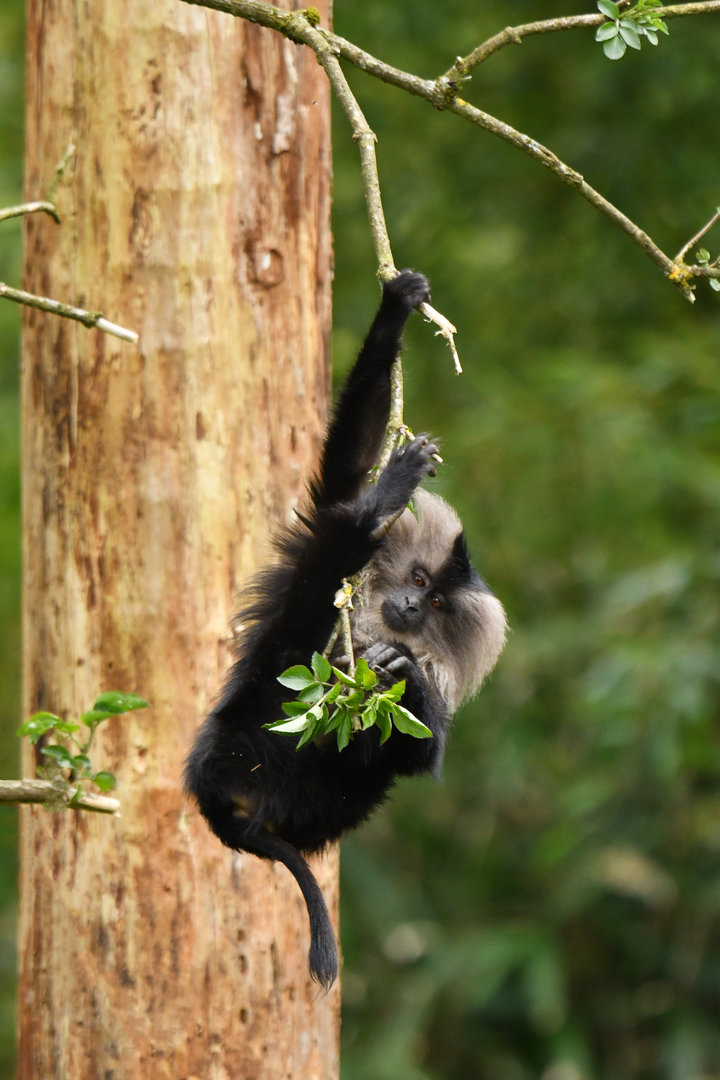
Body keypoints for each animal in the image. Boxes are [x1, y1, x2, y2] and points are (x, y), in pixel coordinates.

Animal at [184, 270, 507, 989]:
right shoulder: (327, 508)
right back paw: (382, 501)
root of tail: (222, 796)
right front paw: (396, 311)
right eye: (417, 578)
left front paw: (402, 670)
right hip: (247, 724)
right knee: (325, 568)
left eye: (438, 602)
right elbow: (345, 463)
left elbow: (418, 750)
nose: (411, 608)